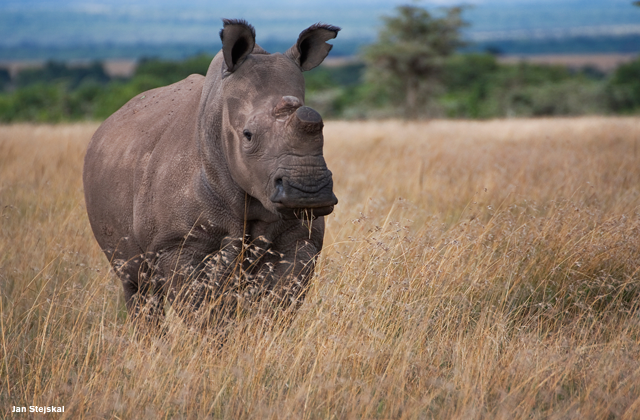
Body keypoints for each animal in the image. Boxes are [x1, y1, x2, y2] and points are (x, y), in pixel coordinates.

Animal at [83, 19, 339, 328]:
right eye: (247, 135)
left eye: (323, 130)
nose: (309, 191)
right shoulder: (177, 244)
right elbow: (203, 311)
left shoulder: (301, 238)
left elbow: (277, 306)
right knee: (137, 284)